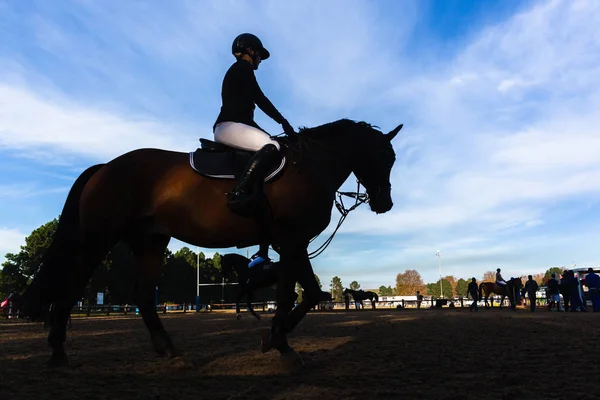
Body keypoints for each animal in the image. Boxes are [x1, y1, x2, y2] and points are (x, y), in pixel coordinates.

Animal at [18, 116, 400, 368]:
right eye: (385, 156)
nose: (385, 202)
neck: (309, 168)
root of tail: (106, 167)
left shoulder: (293, 243)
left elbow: (308, 294)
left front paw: (277, 339)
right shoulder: (290, 240)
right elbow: (295, 293)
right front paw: (278, 340)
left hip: (151, 240)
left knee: (142, 294)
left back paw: (166, 348)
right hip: (99, 238)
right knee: (73, 286)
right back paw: (57, 352)